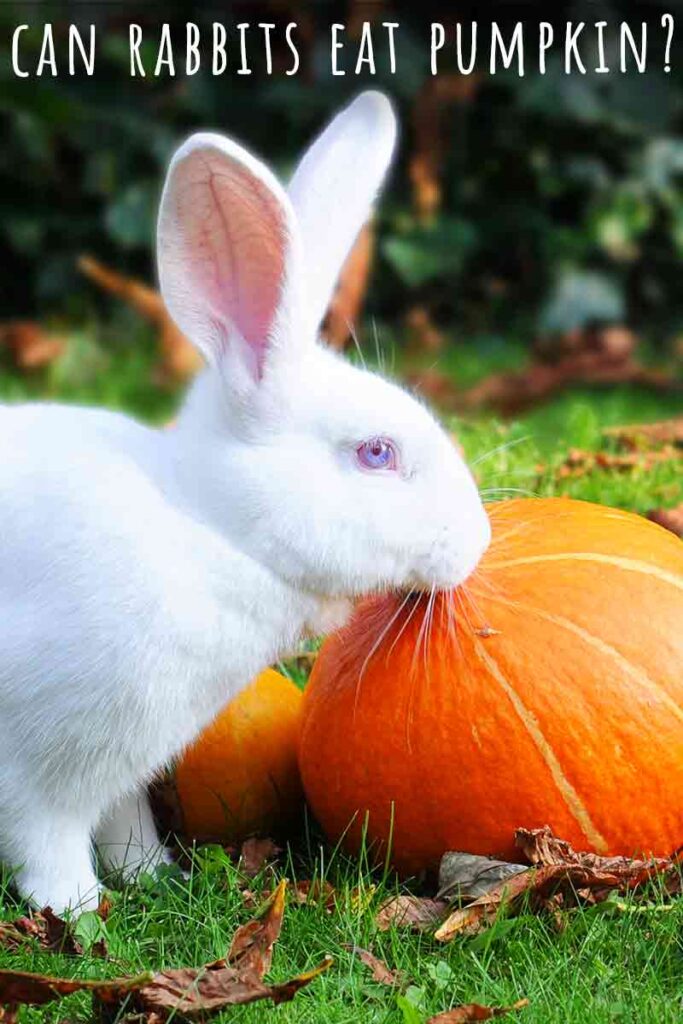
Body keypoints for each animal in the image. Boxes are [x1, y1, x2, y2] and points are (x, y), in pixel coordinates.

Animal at [0, 94, 489, 913]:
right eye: (376, 453)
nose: (478, 541)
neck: (208, 529)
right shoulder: (42, 766)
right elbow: (49, 840)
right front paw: (75, 906)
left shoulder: (122, 768)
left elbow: (123, 819)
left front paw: (152, 873)